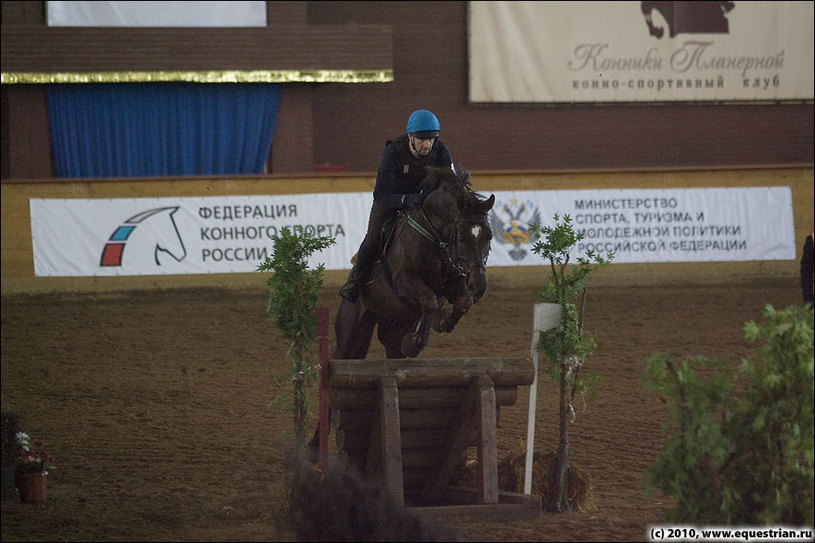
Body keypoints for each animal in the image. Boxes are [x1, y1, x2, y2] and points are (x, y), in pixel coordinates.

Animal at [334, 167, 498, 362]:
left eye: (489, 236)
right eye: (461, 238)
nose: (478, 286)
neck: (436, 237)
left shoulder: (455, 280)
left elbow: (463, 302)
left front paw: (442, 322)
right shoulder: (403, 280)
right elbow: (429, 301)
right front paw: (417, 340)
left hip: (392, 330)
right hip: (350, 333)